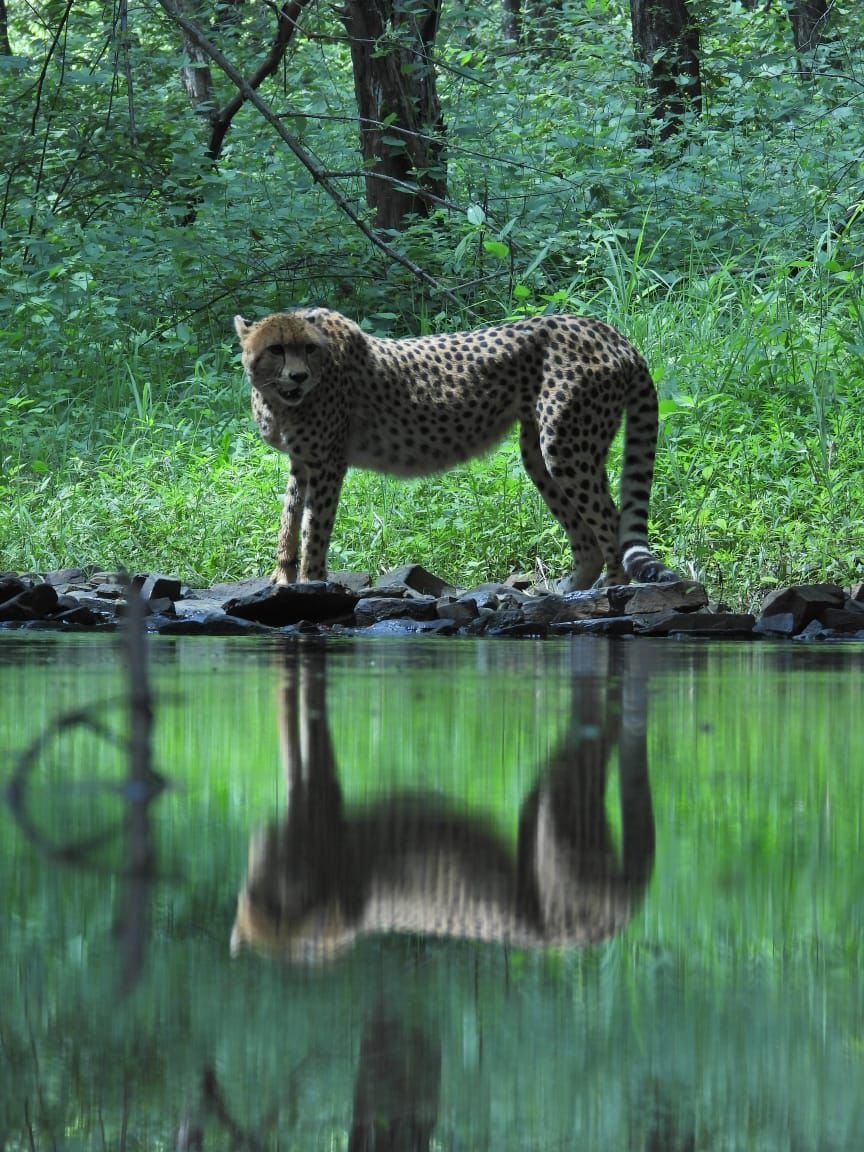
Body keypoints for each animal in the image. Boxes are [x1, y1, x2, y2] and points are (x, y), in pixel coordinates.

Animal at [233, 308, 678, 590]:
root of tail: (609, 331)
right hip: (541, 453)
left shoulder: (328, 461)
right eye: (277, 349)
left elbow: (316, 527)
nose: (298, 375)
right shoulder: (302, 461)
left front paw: (311, 583)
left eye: (308, 349)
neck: (280, 400)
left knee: (610, 521)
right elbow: (289, 519)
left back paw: (611, 593)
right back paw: (569, 590)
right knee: (587, 534)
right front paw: (282, 578)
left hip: (564, 446)